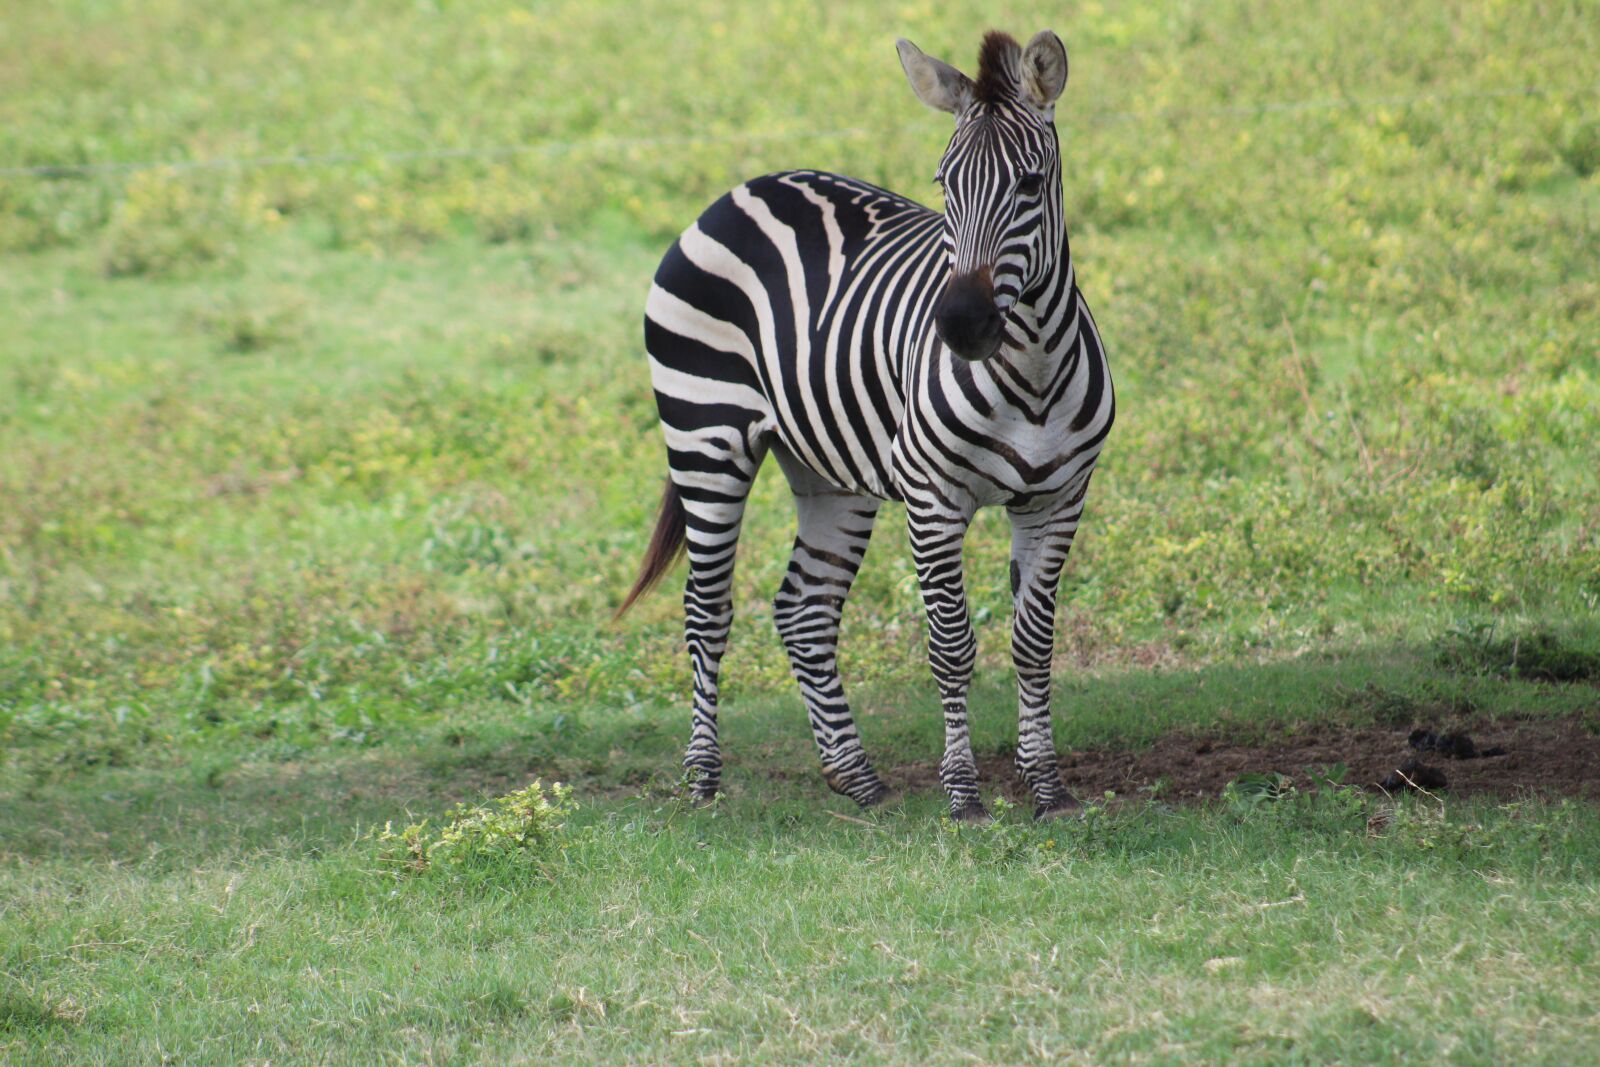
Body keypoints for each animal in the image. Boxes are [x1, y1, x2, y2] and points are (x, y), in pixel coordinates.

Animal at [616, 29, 1114, 822]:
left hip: (827, 471)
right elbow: (951, 647)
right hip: (705, 438)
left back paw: (855, 775)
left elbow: (1033, 644)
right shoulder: (934, 501)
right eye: (943, 184)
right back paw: (702, 780)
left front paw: (1048, 787)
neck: (1032, 370)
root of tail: (745, 188)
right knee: (706, 607)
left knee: (804, 609)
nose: (960, 325)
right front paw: (964, 795)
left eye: (1030, 186)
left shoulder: (1059, 501)